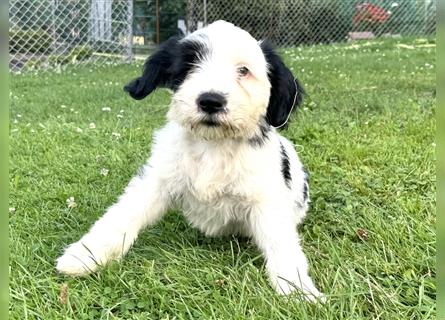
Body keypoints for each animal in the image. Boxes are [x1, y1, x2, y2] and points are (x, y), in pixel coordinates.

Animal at [57, 20, 324, 302]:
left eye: (244, 70)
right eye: (188, 65)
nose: (211, 101)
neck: (213, 144)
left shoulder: (266, 197)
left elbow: (281, 242)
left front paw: (298, 289)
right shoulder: (157, 179)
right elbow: (122, 214)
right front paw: (85, 255)